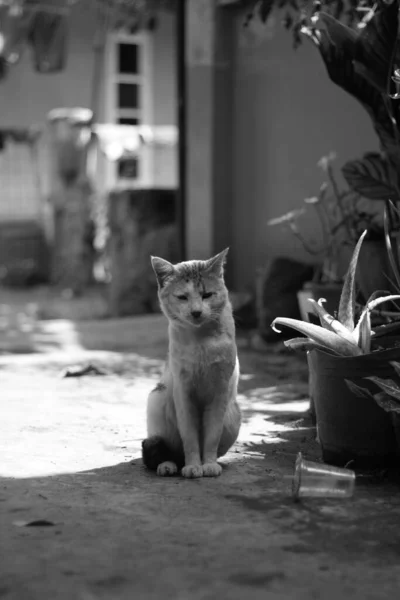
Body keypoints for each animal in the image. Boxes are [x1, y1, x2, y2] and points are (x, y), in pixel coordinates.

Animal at [141, 248, 241, 478]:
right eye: (182, 297)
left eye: (206, 295)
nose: (196, 312)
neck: (201, 339)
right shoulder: (183, 392)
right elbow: (190, 437)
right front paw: (194, 466)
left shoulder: (220, 392)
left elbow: (211, 437)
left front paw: (208, 465)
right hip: (158, 398)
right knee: (167, 450)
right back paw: (169, 466)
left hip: (233, 415)